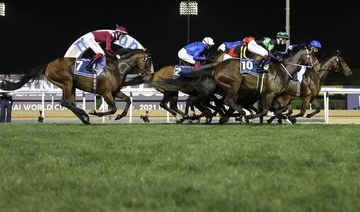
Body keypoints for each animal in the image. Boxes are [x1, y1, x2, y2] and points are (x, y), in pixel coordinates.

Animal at [0, 48, 153, 124]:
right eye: (147, 61)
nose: (149, 74)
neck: (117, 68)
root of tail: (48, 65)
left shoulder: (115, 91)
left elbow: (128, 100)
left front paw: (120, 116)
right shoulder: (105, 92)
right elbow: (113, 108)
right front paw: (95, 113)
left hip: (69, 85)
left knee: (69, 103)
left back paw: (84, 118)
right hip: (67, 82)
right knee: (65, 102)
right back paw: (85, 115)